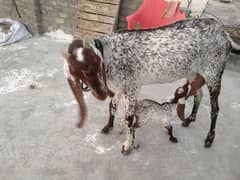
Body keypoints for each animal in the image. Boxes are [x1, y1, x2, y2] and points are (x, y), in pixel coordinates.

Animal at [63, 18, 240, 155]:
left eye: (88, 67)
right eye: (74, 71)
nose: (94, 91)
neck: (110, 54)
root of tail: (224, 32)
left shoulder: (132, 88)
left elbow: (129, 118)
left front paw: (127, 145)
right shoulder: (121, 87)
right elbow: (112, 105)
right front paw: (108, 127)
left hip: (214, 72)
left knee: (215, 108)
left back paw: (209, 139)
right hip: (194, 72)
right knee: (198, 94)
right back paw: (189, 120)